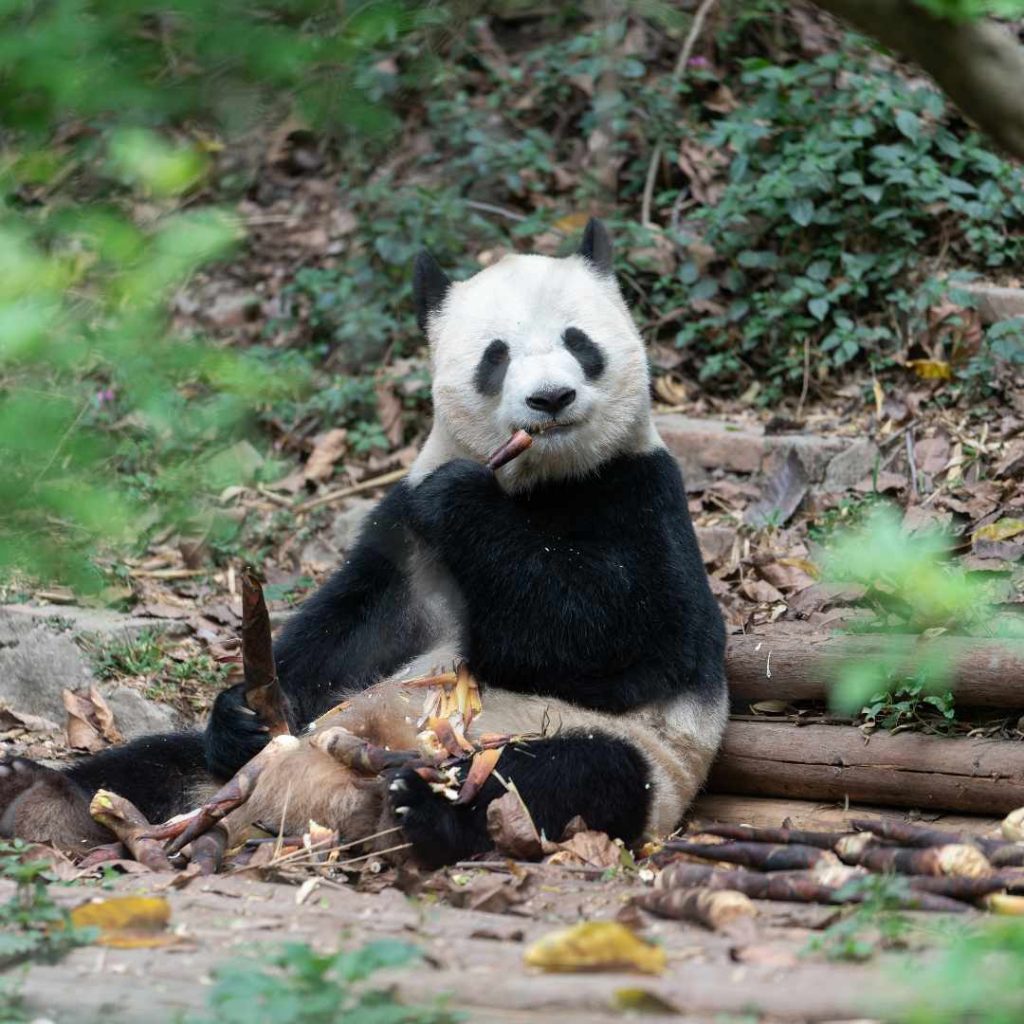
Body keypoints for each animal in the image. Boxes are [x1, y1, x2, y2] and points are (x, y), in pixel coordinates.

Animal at [0, 220, 729, 868]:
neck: (540, 480)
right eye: (496, 355)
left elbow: (620, 637)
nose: (551, 399)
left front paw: (466, 501)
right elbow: (355, 629)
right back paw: (39, 794)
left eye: (580, 342)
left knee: (564, 775)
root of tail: (309, 805)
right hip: (247, 764)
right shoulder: (405, 528)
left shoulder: (641, 495)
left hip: (614, 754)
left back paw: (419, 811)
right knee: (157, 763)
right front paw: (242, 708)